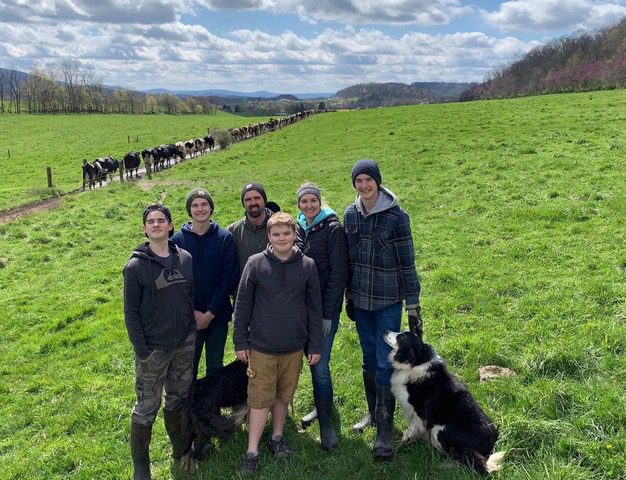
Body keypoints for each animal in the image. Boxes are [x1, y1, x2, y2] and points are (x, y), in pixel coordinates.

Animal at [380, 328, 502, 474]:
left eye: (401, 337)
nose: (385, 331)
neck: (416, 361)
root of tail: (490, 444)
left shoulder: (419, 410)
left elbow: (413, 427)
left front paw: (404, 441)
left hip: (439, 430)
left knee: (457, 457)